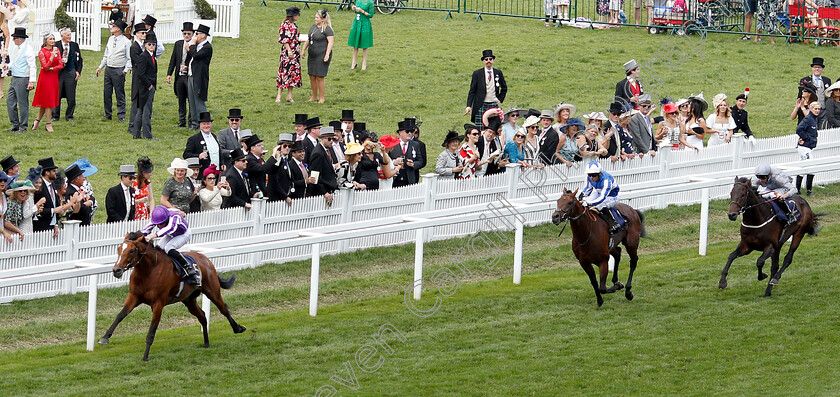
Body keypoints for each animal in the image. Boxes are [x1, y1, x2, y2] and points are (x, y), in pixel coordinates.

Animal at [99, 230, 246, 360]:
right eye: (118, 249)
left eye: (131, 251)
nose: (116, 270)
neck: (149, 271)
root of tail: (205, 259)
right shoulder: (134, 297)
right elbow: (120, 315)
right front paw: (104, 337)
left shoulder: (158, 303)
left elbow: (152, 331)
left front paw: (145, 357)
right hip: (188, 300)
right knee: (202, 316)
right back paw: (206, 342)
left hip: (212, 291)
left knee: (223, 308)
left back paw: (238, 328)